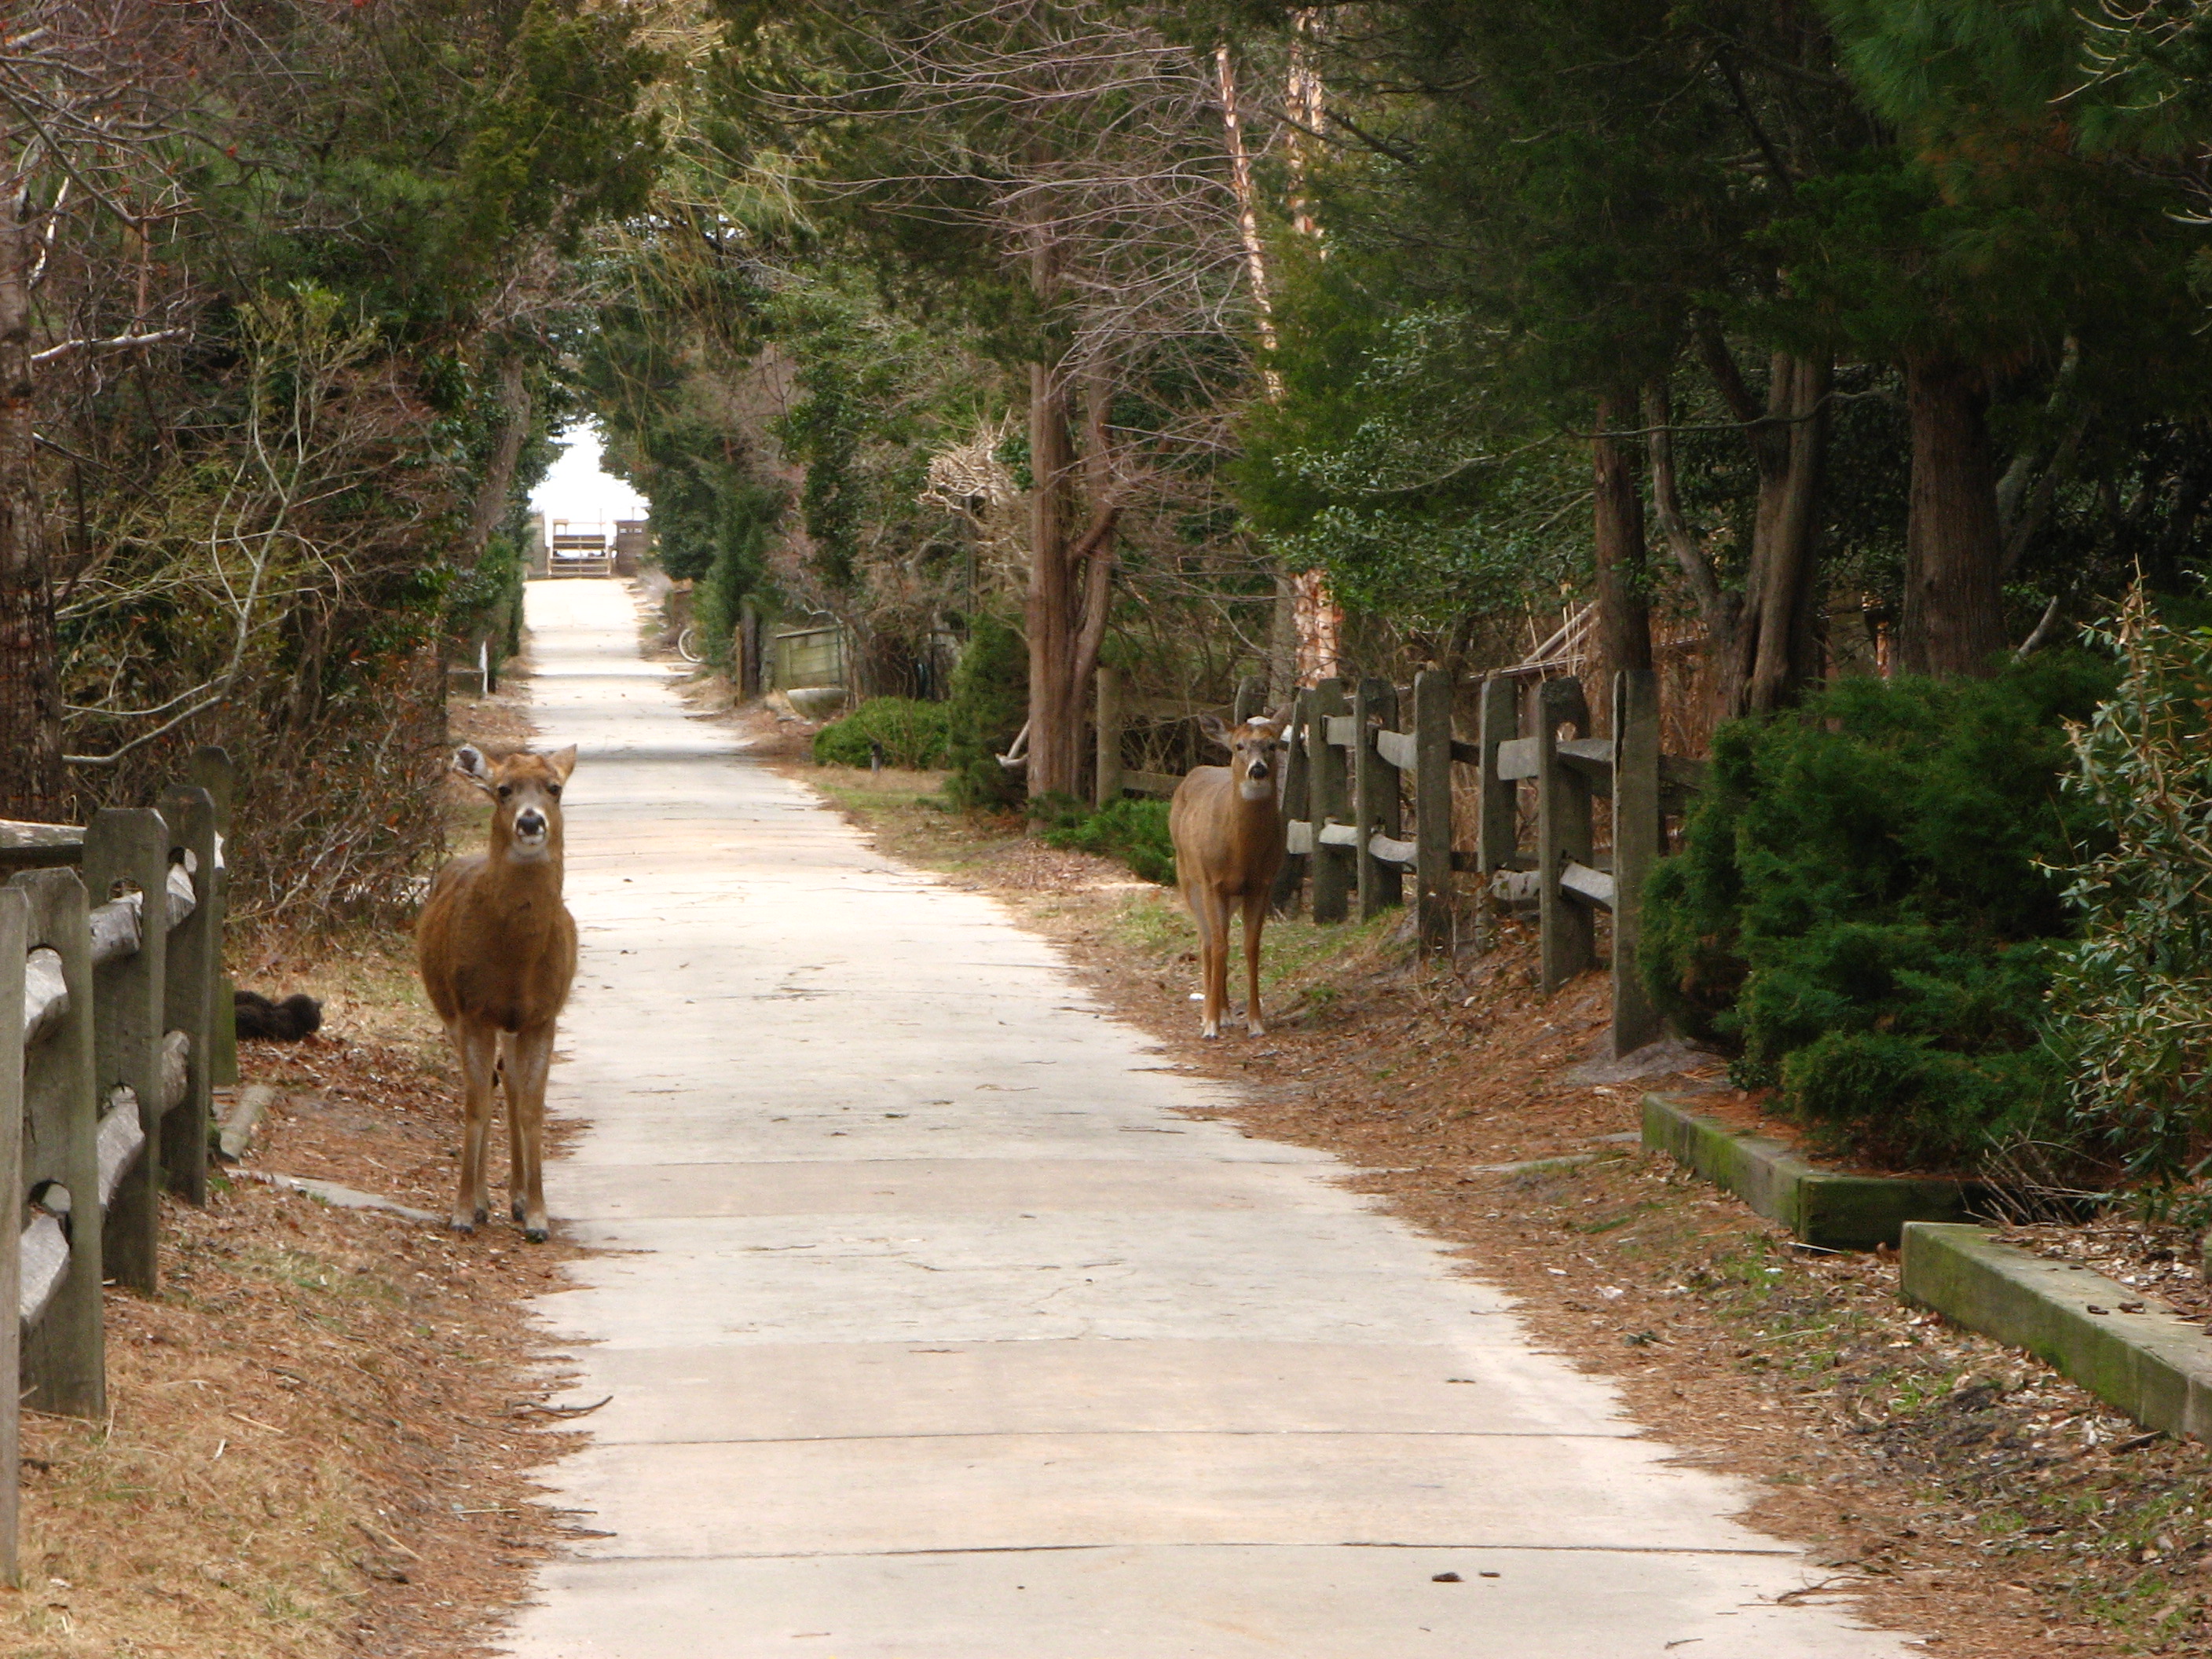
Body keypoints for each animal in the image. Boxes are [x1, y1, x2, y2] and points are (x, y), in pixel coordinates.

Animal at [416, 743, 578, 1242]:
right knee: (489, 1085)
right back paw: (489, 1202)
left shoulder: (543, 1016)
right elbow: (474, 1105)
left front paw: (540, 1218)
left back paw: (519, 1200)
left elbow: (531, 1107)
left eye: (555, 788)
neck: (516, 964)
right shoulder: (472, 1011)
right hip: (449, 1011)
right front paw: (464, 1212)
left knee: (508, 1083)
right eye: (503, 790)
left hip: (513, 1025)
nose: (530, 821)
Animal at [1170, 708, 1290, 1039]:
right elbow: (1220, 945)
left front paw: (1256, 1023)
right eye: (1239, 746)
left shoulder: (1262, 884)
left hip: (1231, 894)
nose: (1258, 770)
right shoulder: (1212, 882)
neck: (1242, 852)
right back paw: (1211, 1014)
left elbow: (1251, 947)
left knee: (1217, 938)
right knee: (1208, 941)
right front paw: (1210, 1024)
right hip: (1188, 876)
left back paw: (1224, 1012)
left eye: (1272, 745)